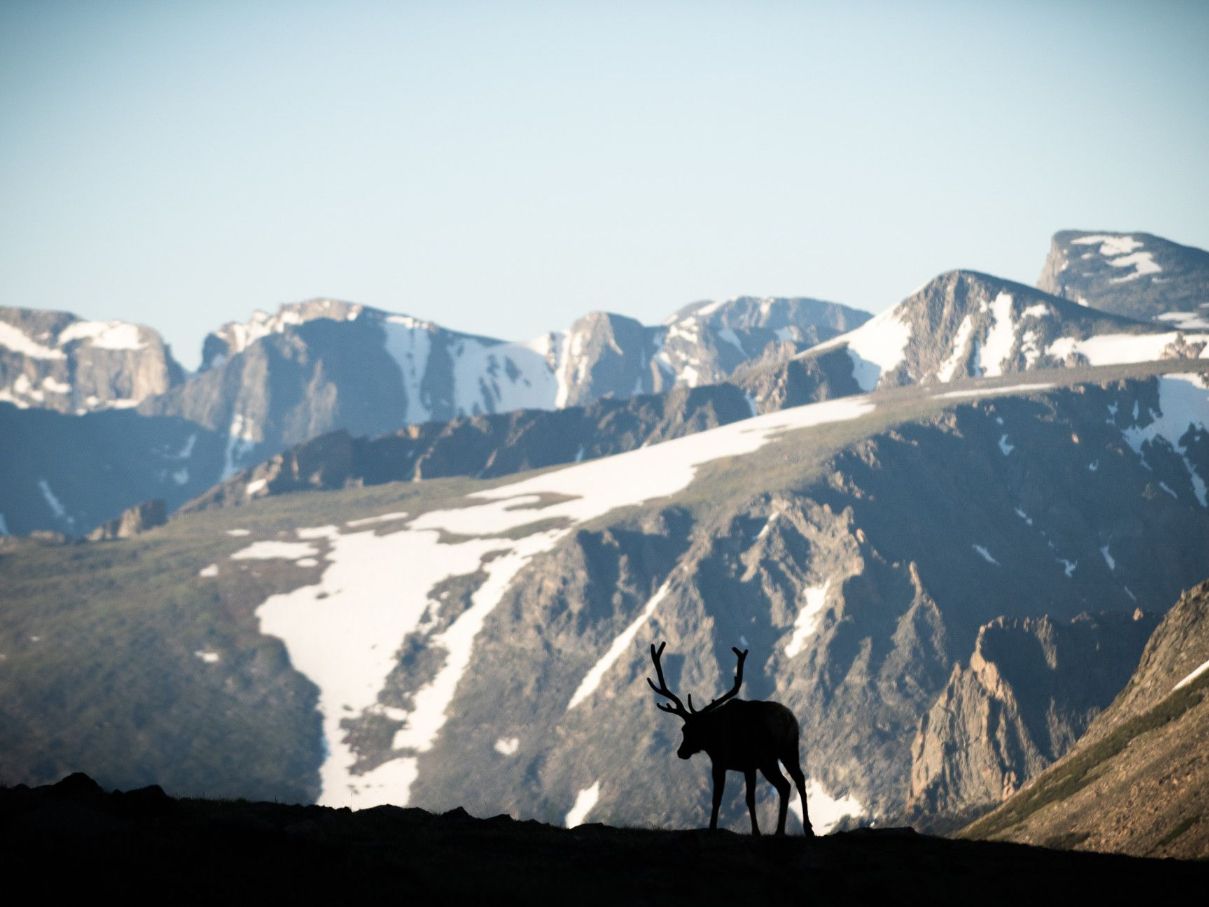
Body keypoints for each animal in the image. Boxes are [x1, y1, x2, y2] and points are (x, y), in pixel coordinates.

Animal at [648, 641, 813, 837]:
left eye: (690, 730)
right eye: (683, 728)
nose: (681, 752)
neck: (712, 738)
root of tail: (787, 720)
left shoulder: (720, 762)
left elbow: (717, 798)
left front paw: (712, 828)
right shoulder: (749, 766)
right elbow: (749, 798)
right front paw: (755, 831)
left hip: (768, 758)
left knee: (785, 785)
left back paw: (780, 831)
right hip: (790, 750)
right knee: (800, 780)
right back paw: (807, 828)